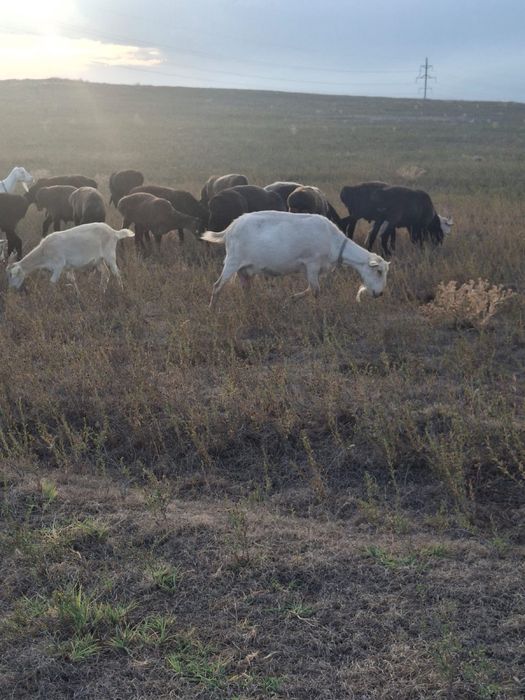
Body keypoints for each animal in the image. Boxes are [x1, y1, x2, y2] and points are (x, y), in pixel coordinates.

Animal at [6, 223, 134, 292]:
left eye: (12, 275)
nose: (11, 288)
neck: (44, 251)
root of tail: (114, 232)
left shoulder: (59, 265)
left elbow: (52, 282)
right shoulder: (67, 267)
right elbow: (72, 280)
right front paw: (78, 295)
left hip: (110, 255)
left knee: (116, 272)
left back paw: (121, 290)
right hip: (98, 260)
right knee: (106, 273)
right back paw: (101, 291)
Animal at [201, 210, 389, 309]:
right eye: (379, 271)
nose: (380, 294)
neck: (333, 240)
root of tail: (230, 228)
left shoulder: (314, 269)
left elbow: (310, 288)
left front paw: (290, 300)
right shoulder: (312, 263)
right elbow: (316, 290)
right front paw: (317, 310)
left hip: (244, 268)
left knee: (246, 288)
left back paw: (251, 306)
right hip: (232, 261)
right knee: (217, 286)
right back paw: (212, 309)